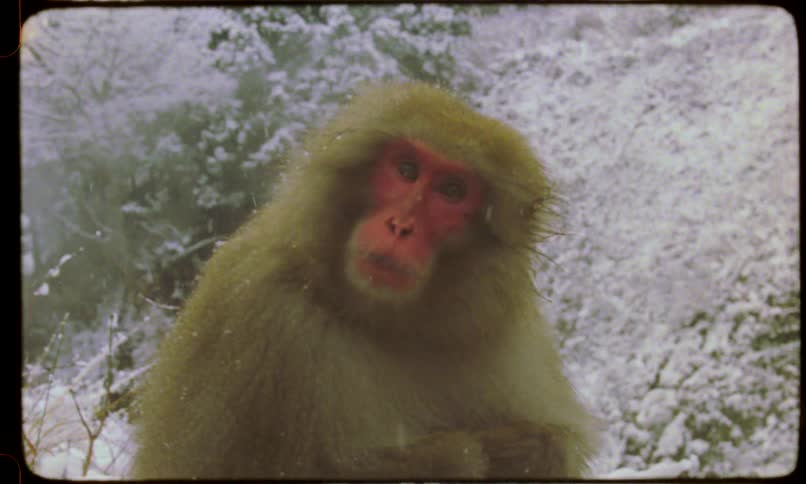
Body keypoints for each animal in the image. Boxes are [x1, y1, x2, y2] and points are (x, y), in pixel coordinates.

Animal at [132, 81, 599, 480]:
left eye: (451, 190)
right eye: (406, 169)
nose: (400, 226)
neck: (384, 325)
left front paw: (530, 450)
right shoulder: (249, 305)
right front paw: (454, 458)